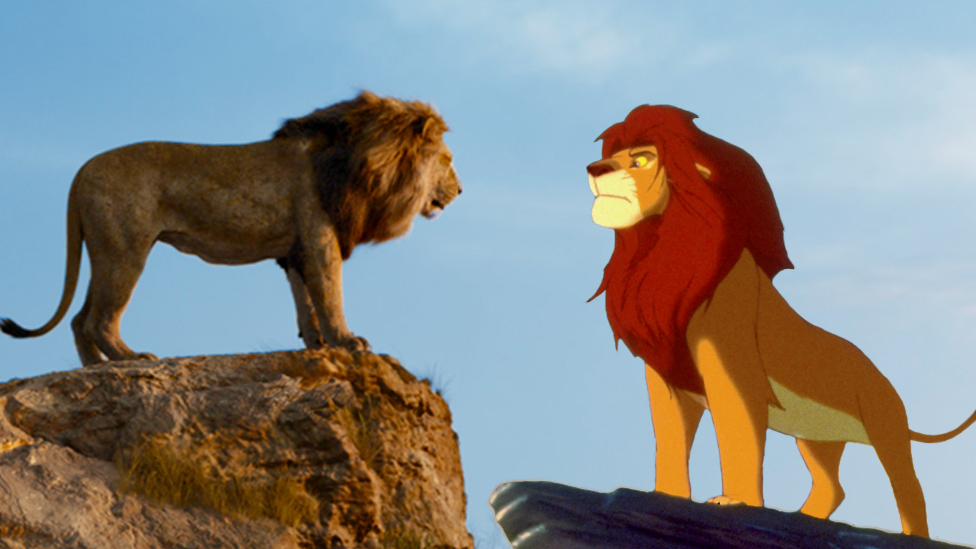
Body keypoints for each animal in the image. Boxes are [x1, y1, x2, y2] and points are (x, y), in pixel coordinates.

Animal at [1, 91, 461, 365]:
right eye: (448, 159)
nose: (459, 190)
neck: (363, 162)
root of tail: (80, 172)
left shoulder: (295, 250)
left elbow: (305, 303)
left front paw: (317, 345)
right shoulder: (320, 239)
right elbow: (330, 297)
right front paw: (348, 342)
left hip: (104, 249)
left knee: (80, 320)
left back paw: (96, 369)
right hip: (126, 250)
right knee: (98, 319)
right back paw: (132, 358)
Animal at [587, 104, 976, 537]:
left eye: (640, 160)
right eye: (613, 154)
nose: (594, 168)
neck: (660, 251)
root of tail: (881, 377)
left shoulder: (732, 362)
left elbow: (738, 431)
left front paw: (734, 500)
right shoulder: (667, 376)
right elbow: (670, 440)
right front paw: (666, 496)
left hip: (885, 426)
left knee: (909, 488)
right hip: (818, 438)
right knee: (833, 487)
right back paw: (804, 519)